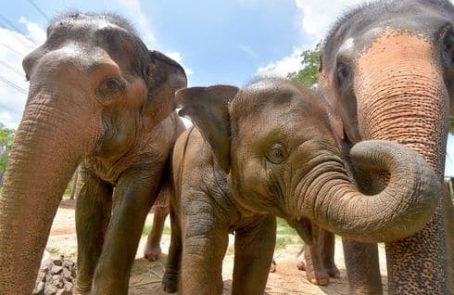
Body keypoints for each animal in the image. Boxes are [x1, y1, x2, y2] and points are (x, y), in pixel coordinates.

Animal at [162, 77, 440, 294]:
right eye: (277, 153)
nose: (357, 146)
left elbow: (257, 252)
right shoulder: (197, 180)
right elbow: (204, 249)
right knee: (178, 230)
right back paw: (170, 286)